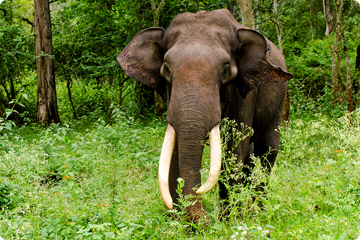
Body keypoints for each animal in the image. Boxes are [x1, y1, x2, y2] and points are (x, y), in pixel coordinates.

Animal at [117, 9, 292, 223]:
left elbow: (233, 151)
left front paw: (228, 221)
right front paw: (178, 222)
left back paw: (258, 211)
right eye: (167, 69)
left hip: (280, 98)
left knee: (267, 151)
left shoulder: (245, 92)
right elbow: (176, 150)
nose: (203, 220)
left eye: (226, 69)